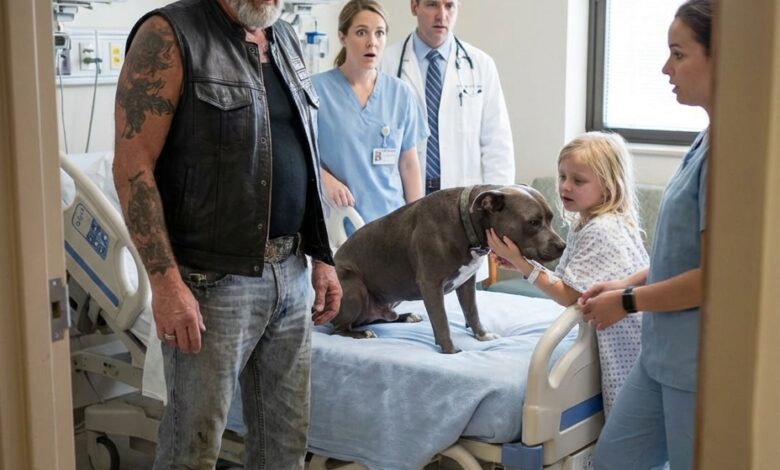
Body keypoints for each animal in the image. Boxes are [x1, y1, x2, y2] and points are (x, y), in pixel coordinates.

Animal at [331, 185, 566, 353]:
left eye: (551, 218)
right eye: (533, 222)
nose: (562, 245)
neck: (466, 224)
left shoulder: (468, 282)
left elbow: (472, 311)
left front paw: (482, 334)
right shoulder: (431, 284)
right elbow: (441, 320)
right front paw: (451, 350)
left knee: (378, 317)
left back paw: (404, 316)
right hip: (354, 288)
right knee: (337, 328)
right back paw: (362, 334)